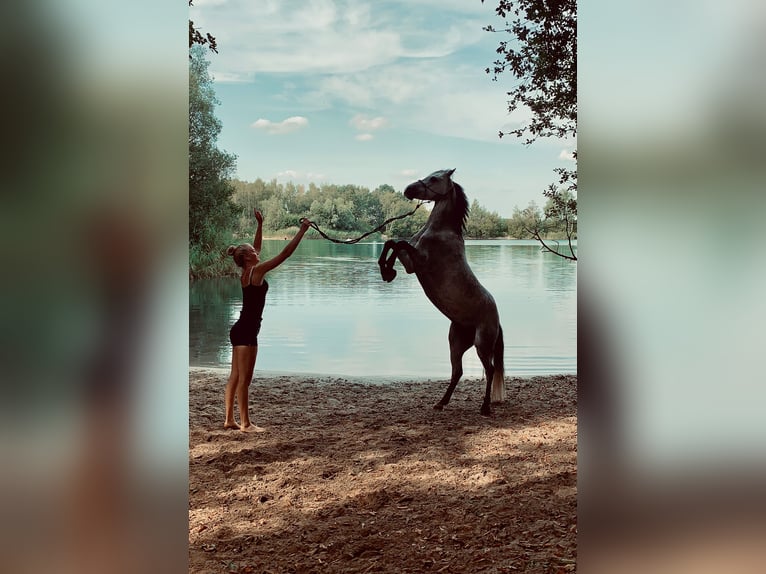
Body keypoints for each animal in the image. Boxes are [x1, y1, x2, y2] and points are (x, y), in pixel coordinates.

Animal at [378, 168, 505, 416]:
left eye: (435, 179)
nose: (408, 190)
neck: (439, 232)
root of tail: (496, 318)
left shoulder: (418, 262)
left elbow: (399, 243)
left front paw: (388, 271)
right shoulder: (411, 263)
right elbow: (393, 243)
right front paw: (386, 270)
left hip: (482, 345)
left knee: (491, 369)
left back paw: (485, 407)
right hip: (455, 343)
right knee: (458, 372)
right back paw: (441, 402)